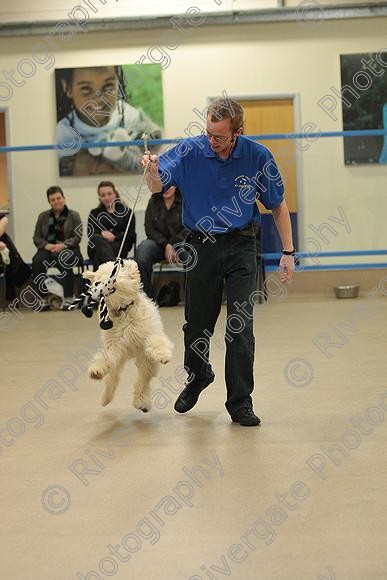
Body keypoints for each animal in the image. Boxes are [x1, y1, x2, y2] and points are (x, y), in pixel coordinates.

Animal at [83, 258, 174, 412]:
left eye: (113, 272)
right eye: (97, 279)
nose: (99, 284)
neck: (123, 310)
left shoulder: (148, 333)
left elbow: (156, 341)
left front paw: (163, 355)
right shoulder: (114, 345)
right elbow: (105, 357)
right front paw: (96, 370)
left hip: (146, 362)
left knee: (143, 382)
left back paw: (141, 402)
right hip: (119, 363)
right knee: (112, 380)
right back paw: (105, 398)